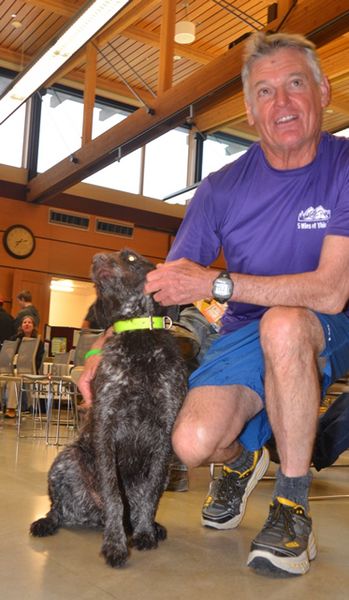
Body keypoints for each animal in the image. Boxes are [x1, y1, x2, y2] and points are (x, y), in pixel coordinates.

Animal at [30, 247, 188, 568]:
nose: (96, 259)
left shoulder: (165, 434)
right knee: (58, 509)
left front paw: (144, 533)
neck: (138, 335)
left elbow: (150, 495)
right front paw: (115, 545)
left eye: (130, 258)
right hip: (65, 458)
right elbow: (115, 496)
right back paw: (47, 522)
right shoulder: (107, 425)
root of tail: (92, 514)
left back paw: (146, 526)